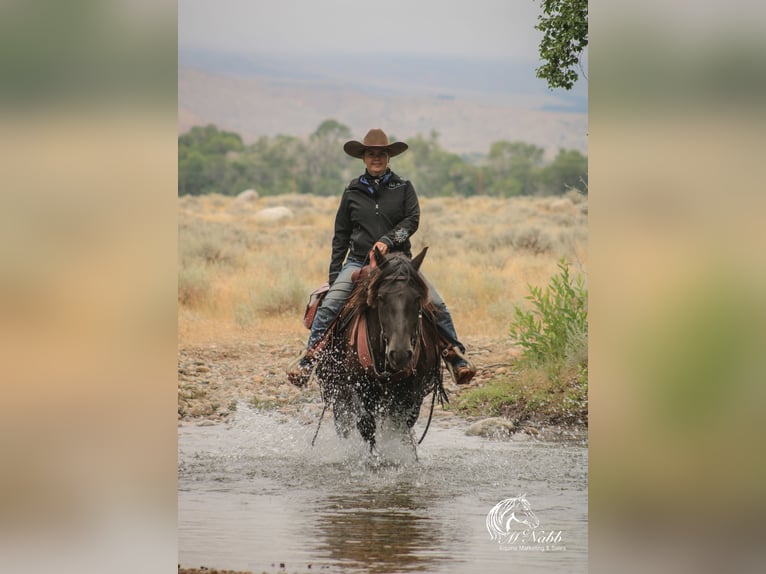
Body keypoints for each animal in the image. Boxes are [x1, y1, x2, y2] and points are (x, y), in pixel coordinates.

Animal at [316, 248, 448, 454]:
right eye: (381, 298)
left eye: (417, 298)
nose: (400, 354)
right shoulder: (356, 389)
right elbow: (366, 426)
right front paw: (374, 458)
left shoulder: (413, 394)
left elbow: (400, 427)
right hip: (337, 391)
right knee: (343, 424)